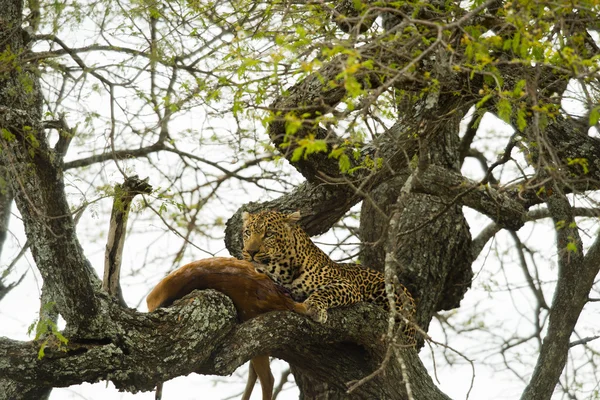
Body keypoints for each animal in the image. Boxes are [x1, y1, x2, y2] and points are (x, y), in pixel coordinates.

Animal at [241, 208, 414, 342]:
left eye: (269, 234)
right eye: (248, 233)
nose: (250, 252)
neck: (281, 270)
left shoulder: (346, 284)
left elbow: (326, 291)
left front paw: (314, 307)